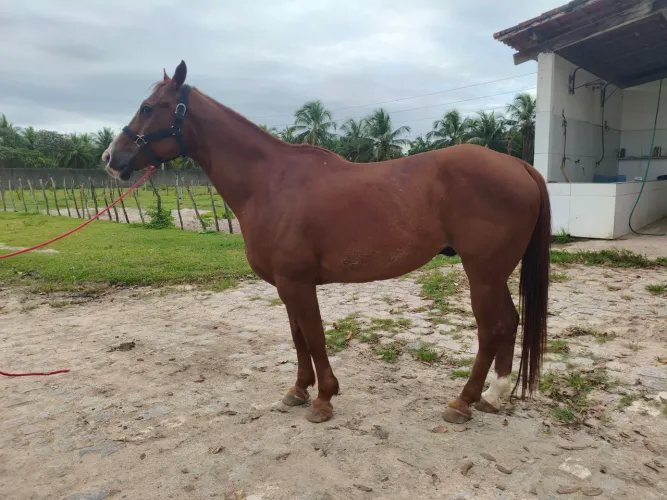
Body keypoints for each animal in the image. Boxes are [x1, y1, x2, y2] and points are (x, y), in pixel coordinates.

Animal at [103, 61, 551, 425]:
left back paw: (463, 402)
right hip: (494, 273)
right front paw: (299, 390)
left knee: (492, 328)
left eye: (148, 107)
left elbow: (314, 335)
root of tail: (519, 165)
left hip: (483, 272)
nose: (110, 158)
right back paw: (494, 396)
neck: (270, 182)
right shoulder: (286, 285)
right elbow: (298, 335)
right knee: (509, 322)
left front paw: (323, 399)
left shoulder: (298, 282)